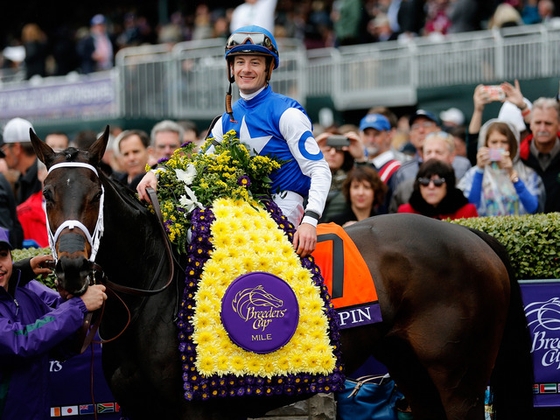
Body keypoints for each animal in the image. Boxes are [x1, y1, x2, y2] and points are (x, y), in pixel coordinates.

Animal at [31, 129, 532, 420]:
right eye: (47, 193)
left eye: (95, 192)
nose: (72, 268)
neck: (153, 290)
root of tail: (473, 238)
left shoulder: (195, 413)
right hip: (411, 369)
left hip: (461, 382)